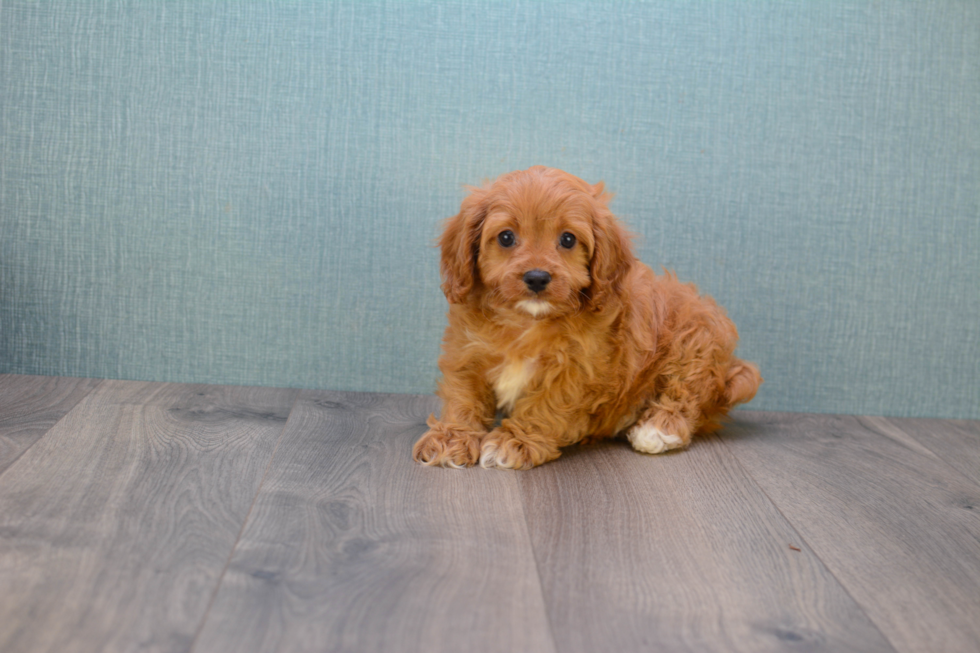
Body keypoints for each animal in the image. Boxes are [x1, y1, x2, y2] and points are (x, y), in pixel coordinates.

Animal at [410, 164, 760, 468]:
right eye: (506, 237)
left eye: (567, 239)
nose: (537, 277)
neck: (527, 321)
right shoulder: (466, 353)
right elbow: (463, 397)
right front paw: (452, 437)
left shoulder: (578, 372)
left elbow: (545, 405)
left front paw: (516, 441)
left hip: (695, 337)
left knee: (686, 391)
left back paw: (658, 429)